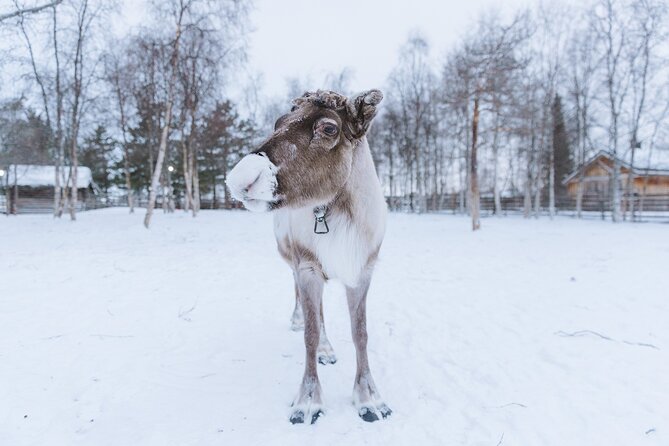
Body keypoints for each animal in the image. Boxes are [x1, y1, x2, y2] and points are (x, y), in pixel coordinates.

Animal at [226, 89, 391, 424]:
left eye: (328, 128)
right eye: (278, 122)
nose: (241, 180)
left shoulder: (363, 271)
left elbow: (361, 333)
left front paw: (370, 399)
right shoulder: (308, 268)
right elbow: (310, 335)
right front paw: (308, 402)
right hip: (294, 261)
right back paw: (305, 328)